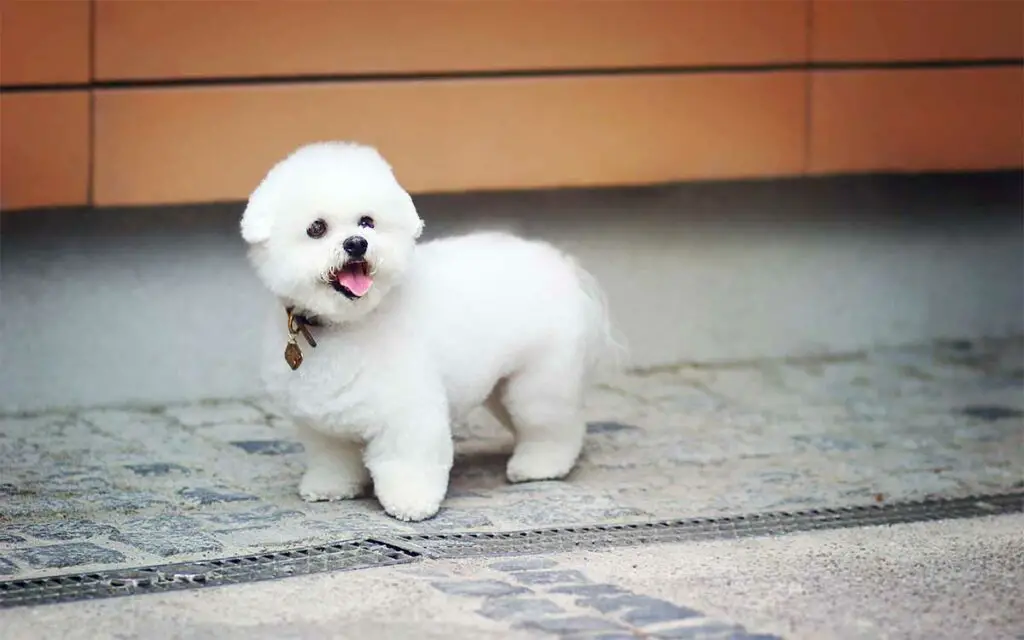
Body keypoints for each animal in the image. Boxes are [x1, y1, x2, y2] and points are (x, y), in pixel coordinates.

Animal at [241, 139, 622, 520]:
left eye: (367, 222)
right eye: (316, 228)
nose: (356, 243)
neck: (348, 323)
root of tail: (561, 264)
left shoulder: (409, 411)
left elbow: (407, 460)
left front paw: (411, 502)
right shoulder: (322, 423)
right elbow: (332, 459)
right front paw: (330, 487)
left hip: (540, 379)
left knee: (553, 425)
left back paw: (539, 465)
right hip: (501, 385)